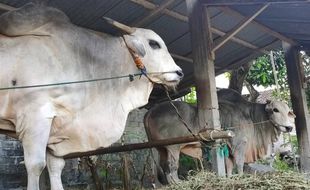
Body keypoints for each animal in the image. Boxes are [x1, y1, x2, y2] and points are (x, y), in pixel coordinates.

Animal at [0, 3, 182, 190]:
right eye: (154, 43)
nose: (179, 72)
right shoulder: (35, 117)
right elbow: (35, 165)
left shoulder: (56, 130)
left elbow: (56, 167)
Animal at [144, 89, 294, 184]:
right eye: (275, 110)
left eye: (288, 112)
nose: (289, 127)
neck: (251, 116)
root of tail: (151, 111)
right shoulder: (239, 145)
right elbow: (239, 164)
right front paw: (241, 177)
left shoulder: (228, 148)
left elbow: (229, 167)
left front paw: (229, 178)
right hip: (173, 147)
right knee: (172, 166)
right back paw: (178, 183)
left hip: (161, 149)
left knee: (164, 166)